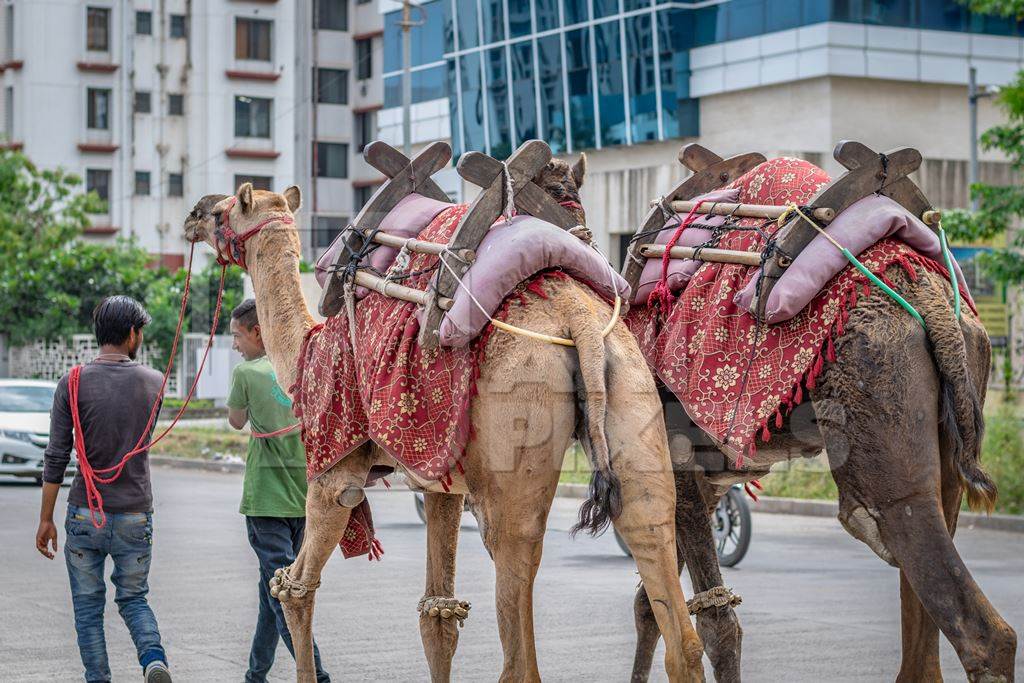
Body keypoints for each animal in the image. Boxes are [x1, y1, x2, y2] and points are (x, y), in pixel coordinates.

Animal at [184, 165, 708, 683]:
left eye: (224, 210)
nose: (192, 214)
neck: (304, 351)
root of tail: (576, 315)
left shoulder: (335, 469)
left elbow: (296, 587)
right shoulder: (440, 481)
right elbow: (437, 612)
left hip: (516, 431)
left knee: (517, 625)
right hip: (631, 392)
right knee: (666, 585)